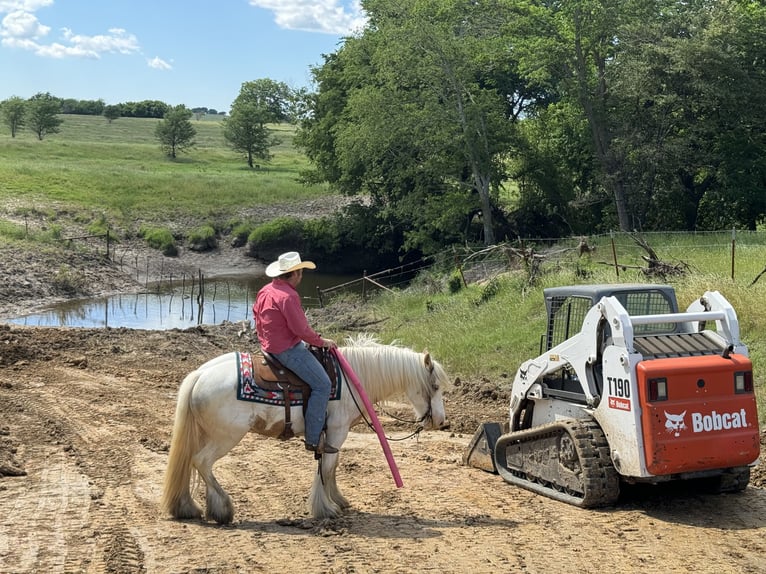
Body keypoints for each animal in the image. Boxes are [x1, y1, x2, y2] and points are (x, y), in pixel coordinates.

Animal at [162, 338, 450, 528]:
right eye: (435, 386)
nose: (441, 422)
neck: (351, 378)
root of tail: (200, 374)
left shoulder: (331, 435)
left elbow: (332, 467)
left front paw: (338, 500)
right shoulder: (336, 431)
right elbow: (328, 467)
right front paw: (326, 508)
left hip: (206, 434)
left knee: (189, 462)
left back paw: (187, 507)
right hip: (225, 437)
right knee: (201, 462)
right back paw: (222, 510)